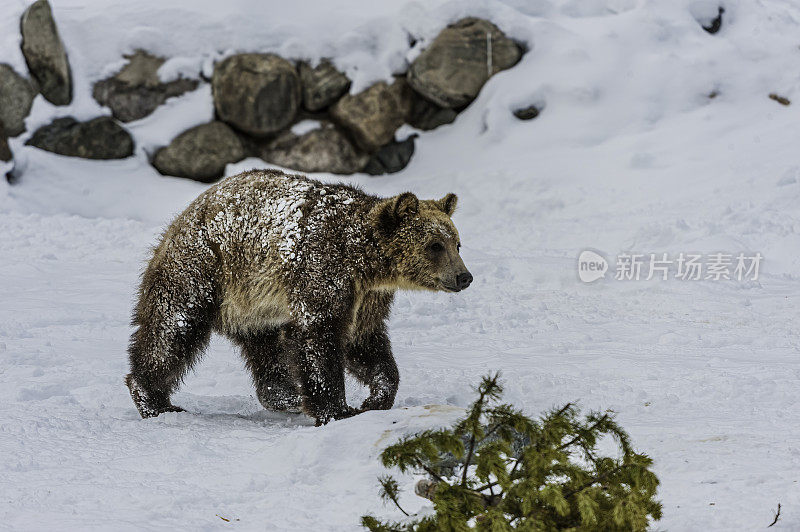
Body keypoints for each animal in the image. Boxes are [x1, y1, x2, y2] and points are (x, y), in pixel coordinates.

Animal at [126, 169, 472, 424]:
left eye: (457, 243)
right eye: (434, 245)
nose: (464, 277)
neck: (367, 262)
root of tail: (181, 218)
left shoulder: (368, 299)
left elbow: (365, 345)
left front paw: (375, 398)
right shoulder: (325, 271)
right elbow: (318, 338)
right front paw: (337, 409)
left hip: (254, 305)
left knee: (266, 350)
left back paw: (286, 395)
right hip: (203, 269)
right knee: (173, 328)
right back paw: (155, 400)